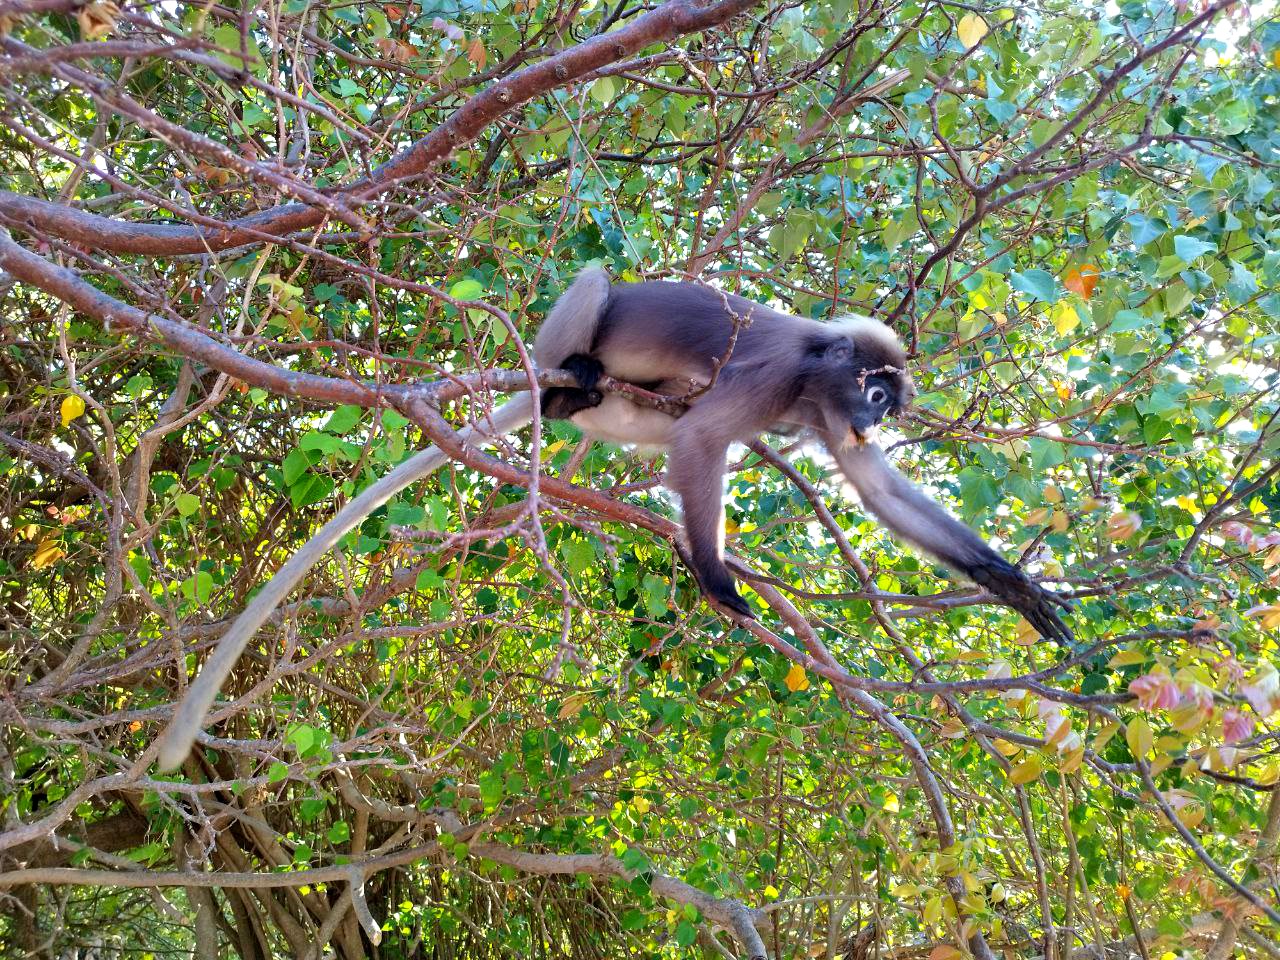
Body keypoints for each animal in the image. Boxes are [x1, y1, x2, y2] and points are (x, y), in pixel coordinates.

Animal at [534, 268, 1071, 641]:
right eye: (876, 395)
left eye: (885, 411)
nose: (872, 424)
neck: (812, 380)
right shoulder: (776, 374)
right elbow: (701, 437)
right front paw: (715, 578)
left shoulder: (832, 419)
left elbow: (881, 492)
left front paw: (1006, 581)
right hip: (558, 347)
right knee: (596, 280)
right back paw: (561, 391)